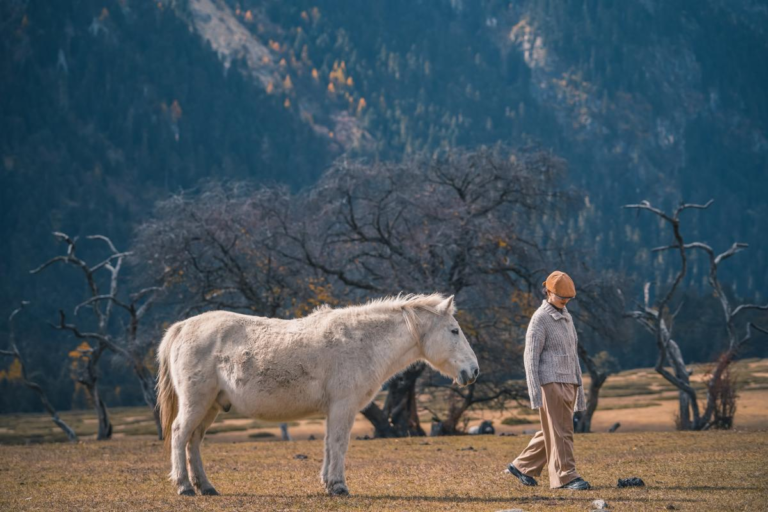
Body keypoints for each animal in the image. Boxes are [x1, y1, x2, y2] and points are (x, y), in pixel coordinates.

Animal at [156, 293, 479, 497]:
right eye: (454, 331)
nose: (473, 371)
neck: (362, 342)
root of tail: (183, 326)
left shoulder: (334, 409)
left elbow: (328, 445)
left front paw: (328, 484)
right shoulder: (343, 407)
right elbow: (338, 444)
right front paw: (338, 486)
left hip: (210, 406)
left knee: (194, 441)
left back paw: (206, 487)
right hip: (196, 402)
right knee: (180, 434)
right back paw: (185, 487)